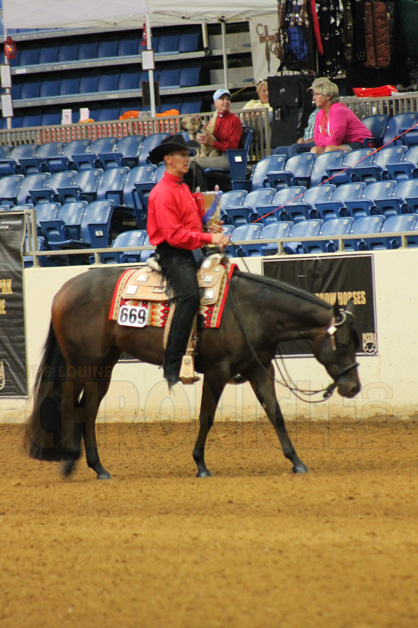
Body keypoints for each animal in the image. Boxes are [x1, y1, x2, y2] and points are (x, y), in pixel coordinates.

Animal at [26, 261, 361, 479]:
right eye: (343, 343)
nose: (353, 387)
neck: (250, 310)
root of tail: (64, 290)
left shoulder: (259, 369)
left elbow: (275, 414)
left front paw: (296, 461)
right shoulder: (217, 371)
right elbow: (206, 417)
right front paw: (200, 464)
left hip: (103, 366)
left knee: (89, 409)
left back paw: (98, 468)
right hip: (82, 363)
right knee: (71, 404)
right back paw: (70, 462)